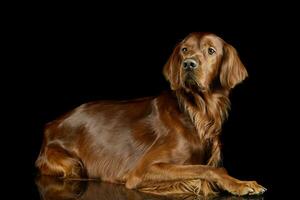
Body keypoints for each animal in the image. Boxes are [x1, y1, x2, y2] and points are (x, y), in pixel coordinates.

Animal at [36, 32, 266, 197]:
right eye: (184, 50)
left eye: (211, 50)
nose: (188, 63)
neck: (196, 114)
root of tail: (50, 124)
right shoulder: (142, 171)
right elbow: (207, 170)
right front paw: (241, 184)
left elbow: (210, 167)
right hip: (72, 165)